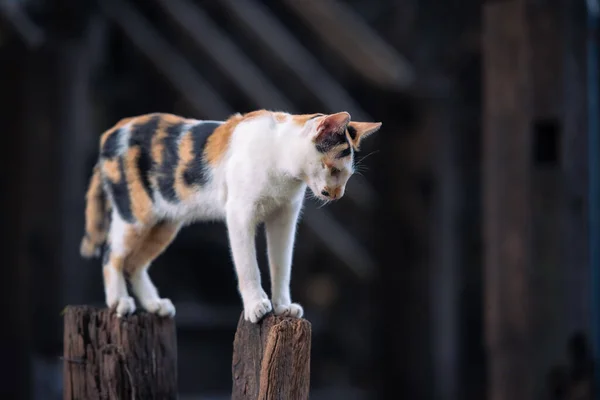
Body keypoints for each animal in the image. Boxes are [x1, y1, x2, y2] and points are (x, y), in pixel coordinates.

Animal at [79, 109, 382, 322]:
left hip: (164, 223)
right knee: (111, 255)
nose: (337, 194)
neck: (280, 161)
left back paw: (156, 305)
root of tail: (111, 132)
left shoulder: (284, 218)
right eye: (333, 169)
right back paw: (120, 302)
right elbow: (248, 266)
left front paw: (283, 307)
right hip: (135, 215)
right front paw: (257, 306)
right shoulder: (239, 214)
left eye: (347, 176)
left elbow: (281, 265)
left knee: (134, 264)